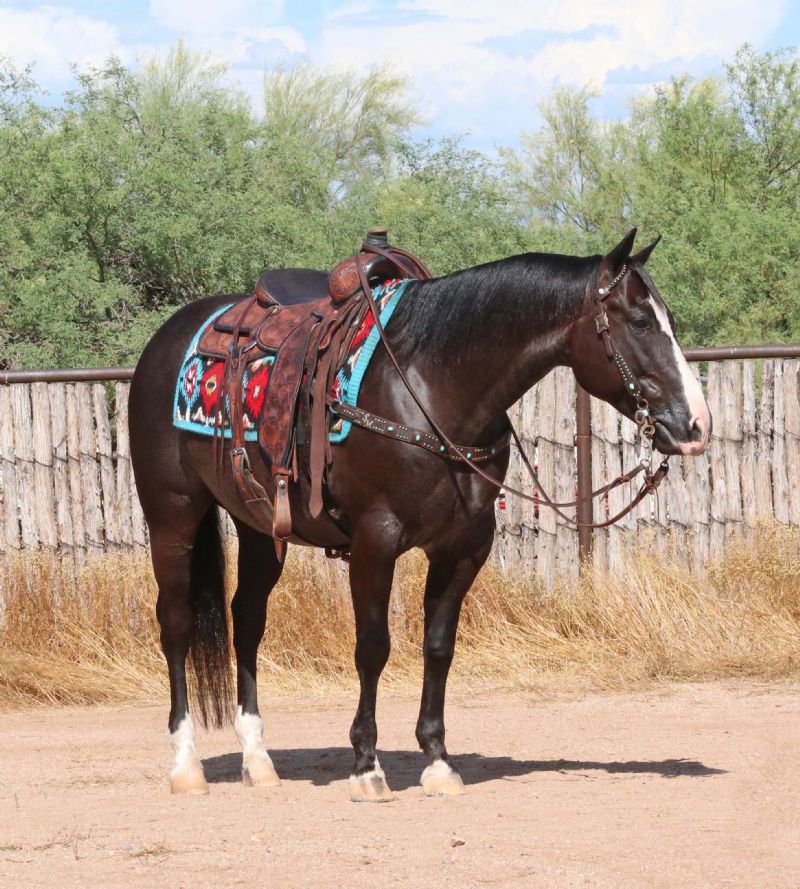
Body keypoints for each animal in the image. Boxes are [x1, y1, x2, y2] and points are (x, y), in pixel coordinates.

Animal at [129, 228, 711, 800]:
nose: (696, 426)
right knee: (176, 624)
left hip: (258, 525)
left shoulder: (464, 547)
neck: (430, 383)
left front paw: (437, 760)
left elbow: (438, 647)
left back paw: (259, 760)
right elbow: (373, 648)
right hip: (173, 517)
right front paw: (366, 766)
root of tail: (168, 337)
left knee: (247, 620)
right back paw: (187, 764)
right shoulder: (375, 541)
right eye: (640, 322)